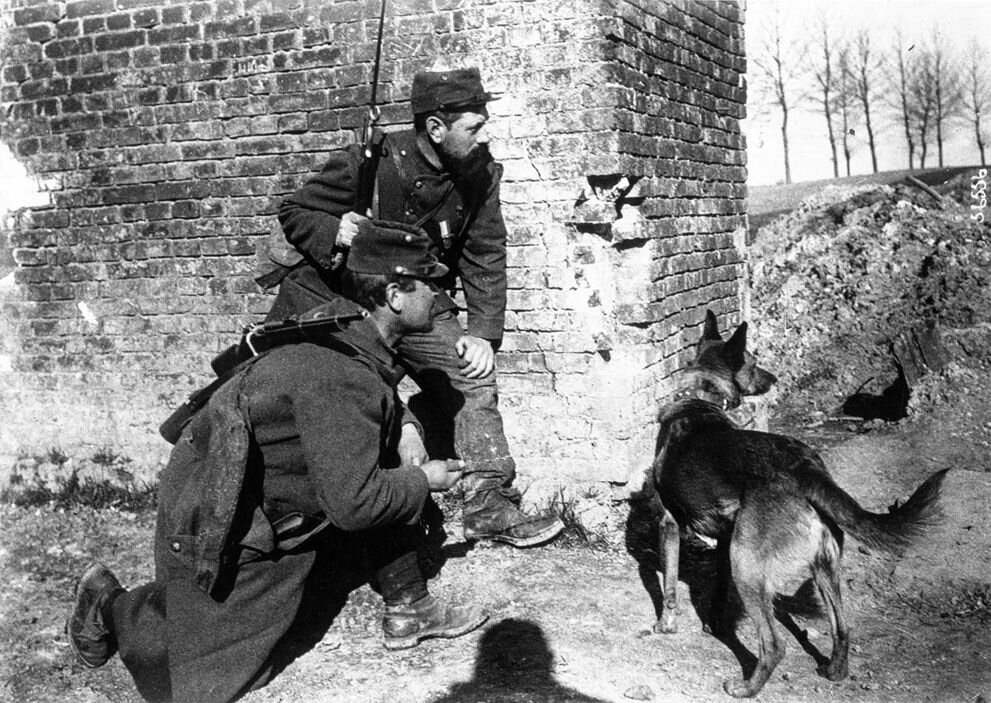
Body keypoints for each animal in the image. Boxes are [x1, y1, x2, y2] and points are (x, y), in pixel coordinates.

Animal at [640, 312, 948, 700]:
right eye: (754, 362)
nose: (773, 379)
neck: (700, 396)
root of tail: (807, 469)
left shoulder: (669, 525)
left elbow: (668, 588)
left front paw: (664, 626)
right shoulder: (724, 541)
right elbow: (717, 595)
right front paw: (712, 625)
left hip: (746, 565)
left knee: (775, 645)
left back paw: (746, 687)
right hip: (822, 566)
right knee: (842, 628)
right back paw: (834, 672)